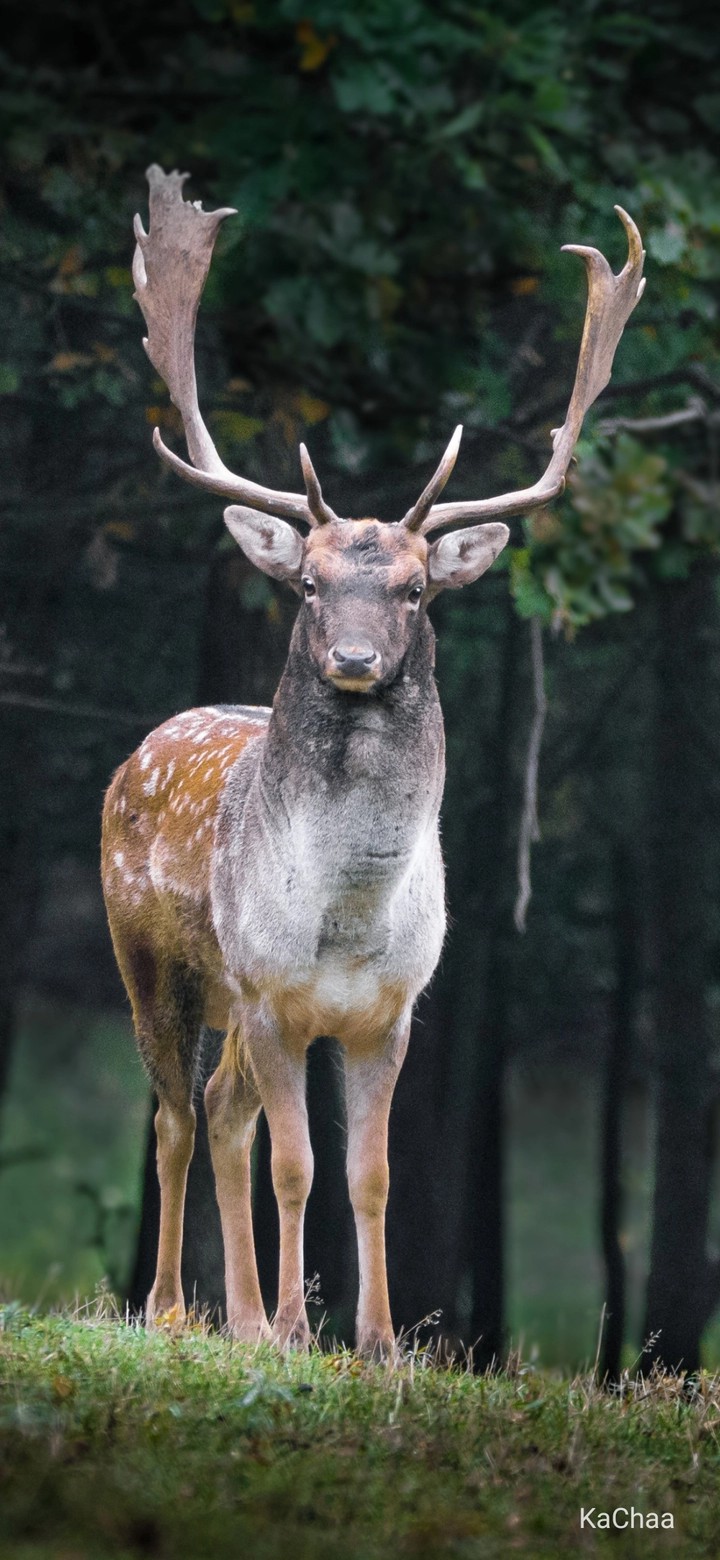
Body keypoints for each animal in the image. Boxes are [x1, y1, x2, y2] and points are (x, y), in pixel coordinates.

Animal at [101, 165, 644, 1358]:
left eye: (415, 588)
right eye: (308, 582)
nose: (352, 658)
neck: (347, 918)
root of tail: (139, 752)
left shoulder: (392, 1012)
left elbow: (372, 1174)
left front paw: (381, 1340)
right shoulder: (271, 994)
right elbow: (297, 1167)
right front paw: (299, 1329)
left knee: (219, 1112)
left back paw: (239, 1318)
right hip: (151, 960)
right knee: (173, 1115)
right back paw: (174, 1309)